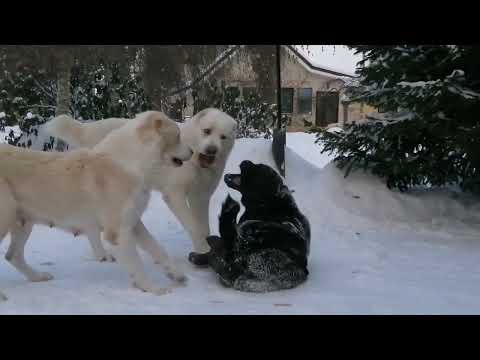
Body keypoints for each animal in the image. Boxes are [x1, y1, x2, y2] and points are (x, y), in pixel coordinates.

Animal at [46, 108, 237, 255]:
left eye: (223, 137)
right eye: (207, 131)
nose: (212, 150)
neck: (197, 161)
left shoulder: (201, 196)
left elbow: (203, 226)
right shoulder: (174, 194)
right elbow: (193, 225)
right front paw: (203, 250)